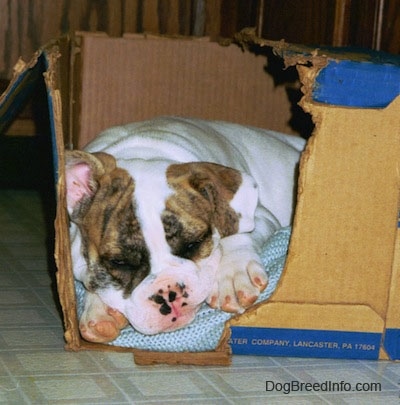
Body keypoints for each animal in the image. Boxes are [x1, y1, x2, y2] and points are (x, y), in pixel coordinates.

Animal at [65, 115, 304, 340]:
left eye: (193, 244)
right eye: (120, 262)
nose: (169, 294)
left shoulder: (259, 215)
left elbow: (233, 234)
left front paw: (233, 274)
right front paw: (99, 308)